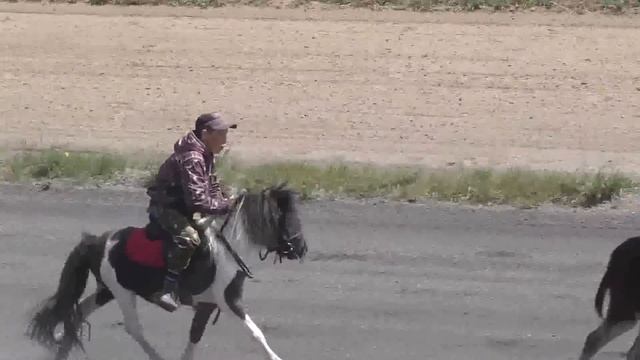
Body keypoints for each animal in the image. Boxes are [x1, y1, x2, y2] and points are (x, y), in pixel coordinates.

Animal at [26, 183, 312, 360]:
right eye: (286, 219)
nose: (301, 248)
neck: (227, 249)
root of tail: (97, 241)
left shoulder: (207, 305)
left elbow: (195, 336)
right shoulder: (229, 301)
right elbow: (255, 333)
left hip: (107, 290)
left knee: (75, 315)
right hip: (122, 293)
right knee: (134, 329)